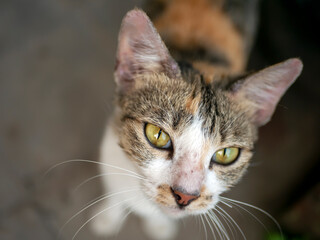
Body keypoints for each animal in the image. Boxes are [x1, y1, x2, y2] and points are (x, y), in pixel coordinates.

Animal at [89, 0, 302, 239]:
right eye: (157, 135)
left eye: (226, 154)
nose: (185, 196)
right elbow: (114, 189)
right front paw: (108, 216)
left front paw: (158, 225)